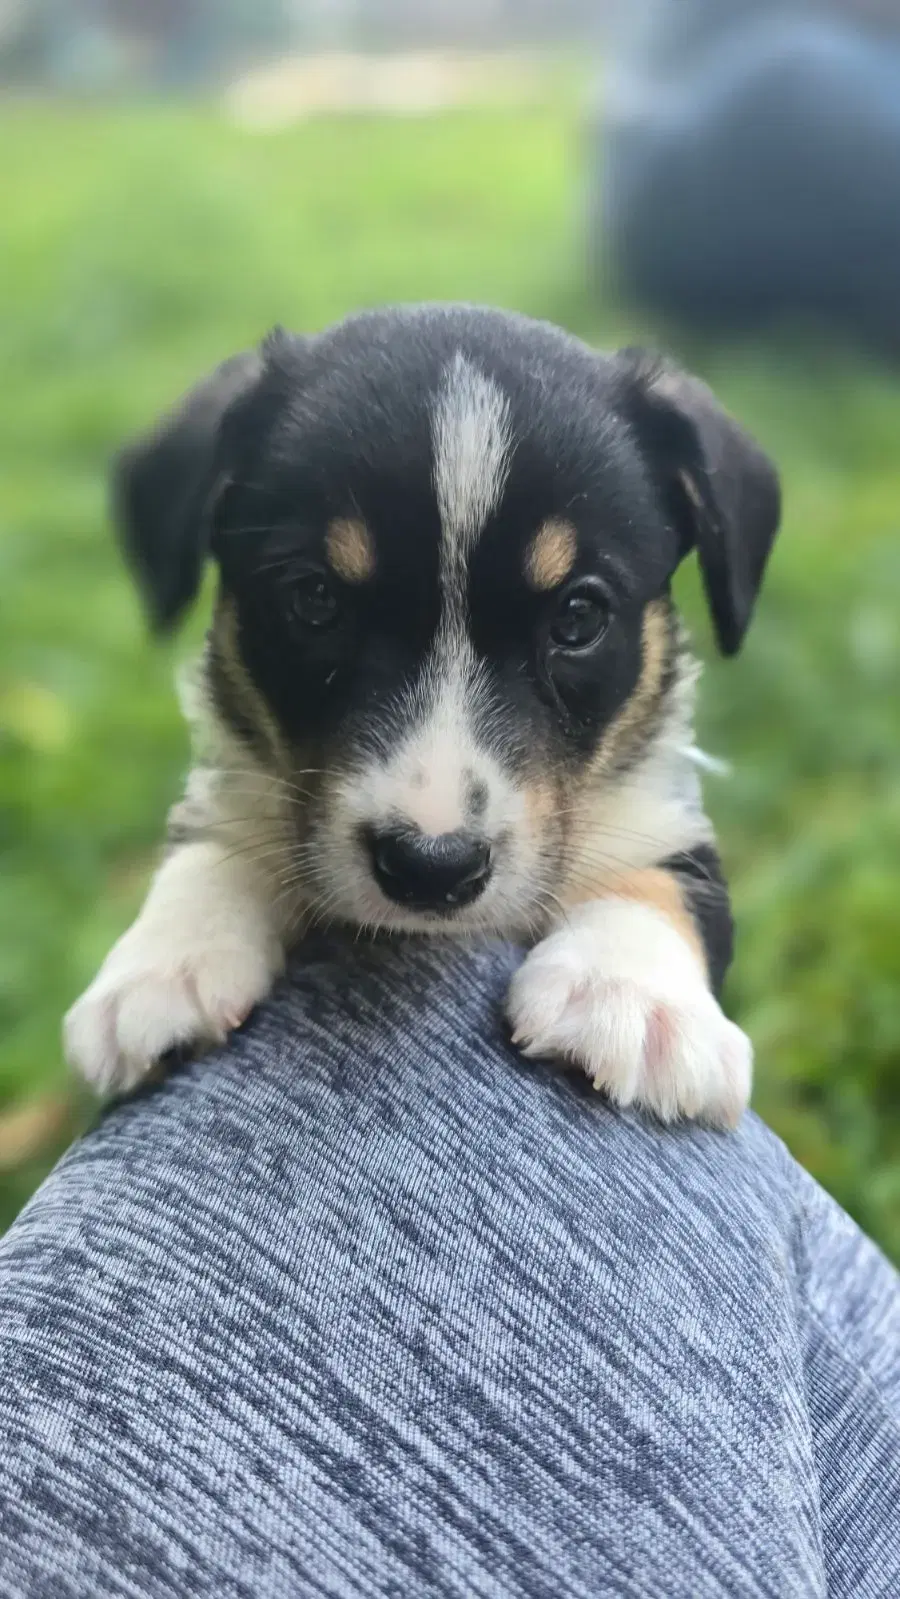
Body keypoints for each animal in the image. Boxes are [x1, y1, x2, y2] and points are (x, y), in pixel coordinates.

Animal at [63, 302, 783, 1125]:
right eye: (314, 598)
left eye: (579, 616)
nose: (430, 869)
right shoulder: (240, 786)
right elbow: (214, 844)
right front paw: (166, 966)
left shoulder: (661, 808)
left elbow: (663, 880)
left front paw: (626, 996)